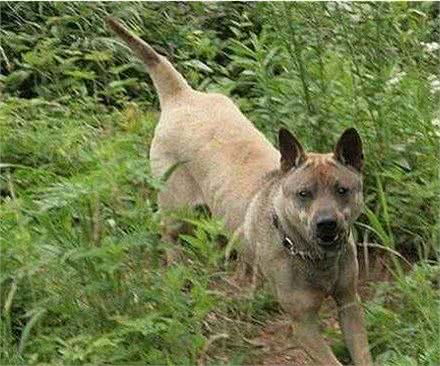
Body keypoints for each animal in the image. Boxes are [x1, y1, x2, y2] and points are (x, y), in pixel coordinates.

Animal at [106, 17, 372, 366]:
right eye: (304, 194)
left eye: (342, 190)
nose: (326, 224)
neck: (311, 256)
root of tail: (182, 95)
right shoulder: (304, 325)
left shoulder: (350, 304)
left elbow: (362, 351)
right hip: (177, 208)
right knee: (168, 234)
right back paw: (176, 266)